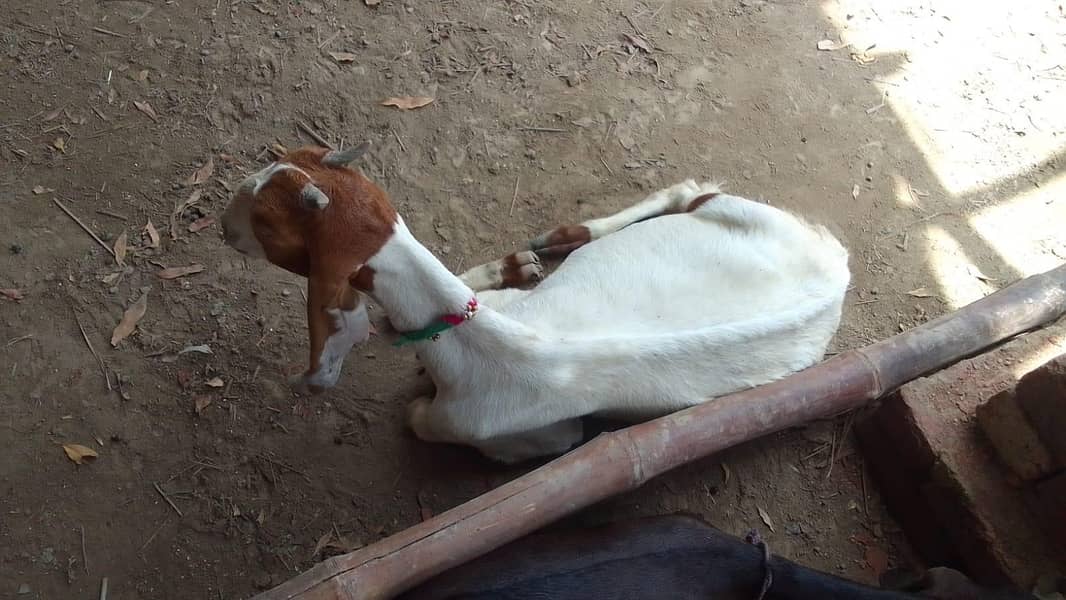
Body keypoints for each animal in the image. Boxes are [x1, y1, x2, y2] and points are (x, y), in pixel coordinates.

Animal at [220, 144, 851, 463]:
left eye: (267, 225)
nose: (223, 226)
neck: (481, 343)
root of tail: (840, 265)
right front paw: (512, 265)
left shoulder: (531, 439)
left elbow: (420, 419)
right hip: (741, 213)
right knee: (690, 191)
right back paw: (566, 238)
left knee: (690, 187)